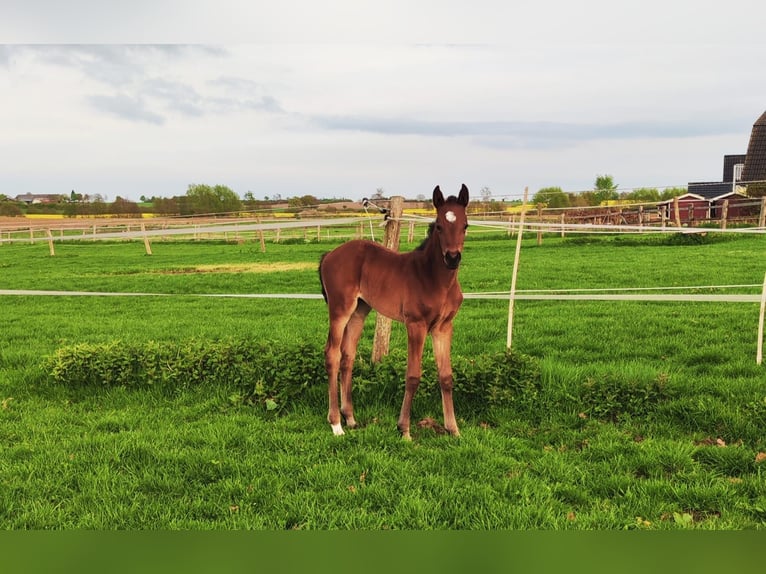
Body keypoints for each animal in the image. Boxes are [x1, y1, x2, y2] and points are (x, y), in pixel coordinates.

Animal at [318, 184, 469, 439]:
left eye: (465, 225)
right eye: (439, 225)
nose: (452, 258)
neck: (434, 278)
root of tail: (329, 254)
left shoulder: (443, 327)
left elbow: (446, 376)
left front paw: (453, 429)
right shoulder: (416, 324)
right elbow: (413, 376)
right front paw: (404, 429)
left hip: (359, 311)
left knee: (348, 356)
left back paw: (350, 418)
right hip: (340, 309)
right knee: (333, 354)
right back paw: (336, 424)